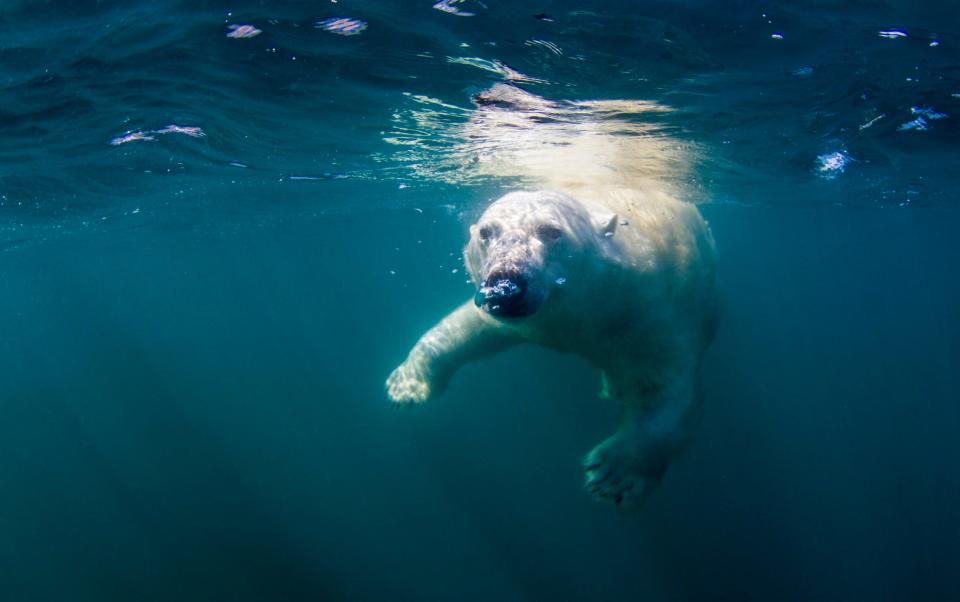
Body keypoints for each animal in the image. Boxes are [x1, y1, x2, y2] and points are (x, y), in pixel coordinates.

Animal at [386, 83, 716, 506]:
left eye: (551, 231)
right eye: (486, 232)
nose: (506, 284)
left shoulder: (649, 311)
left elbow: (671, 390)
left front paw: (614, 474)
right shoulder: (530, 320)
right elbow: (464, 328)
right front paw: (405, 386)